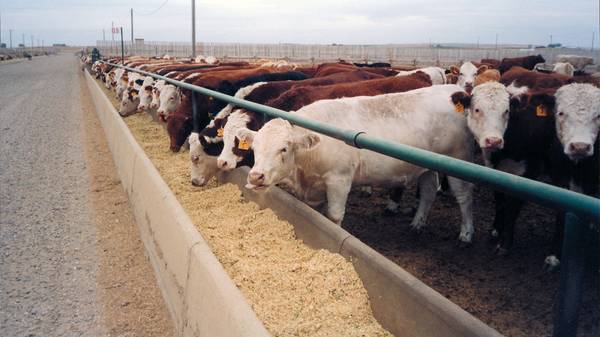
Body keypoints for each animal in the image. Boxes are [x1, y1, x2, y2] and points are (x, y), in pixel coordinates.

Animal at [237, 84, 476, 242]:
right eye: (254, 148)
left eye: (283, 149)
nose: (255, 176)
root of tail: (454, 90)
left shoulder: (339, 179)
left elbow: (333, 217)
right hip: (427, 166)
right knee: (428, 191)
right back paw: (417, 223)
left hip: (459, 159)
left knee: (464, 195)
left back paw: (466, 233)